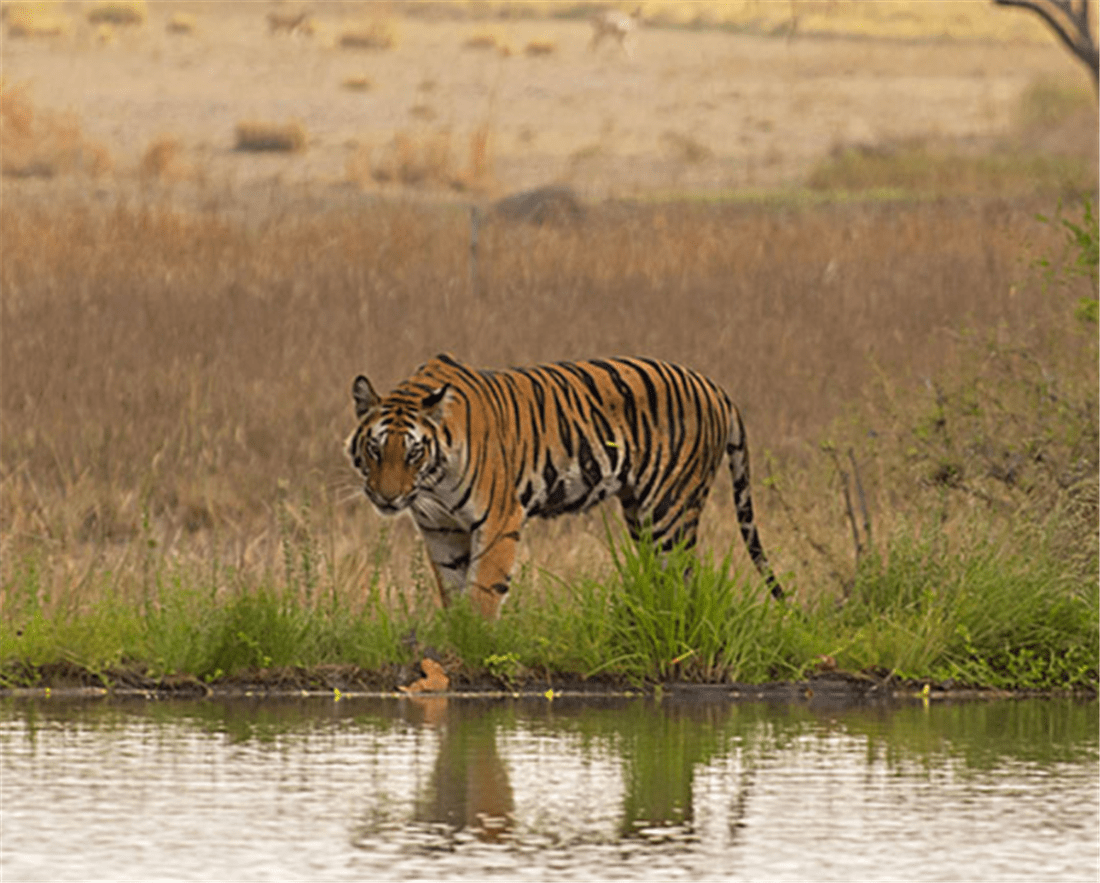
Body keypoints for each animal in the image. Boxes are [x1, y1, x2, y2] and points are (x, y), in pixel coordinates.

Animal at [345, 354, 783, 620]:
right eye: (375, 449)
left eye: (414, 453)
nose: (387, 497)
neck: (434, 483)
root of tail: (713, 386)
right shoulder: (441, 528)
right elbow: (453, 592)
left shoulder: (499, 518)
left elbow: (482, 591)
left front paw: (472, 648)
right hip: (639, 513)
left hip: (670, 510)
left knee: (686, 580)